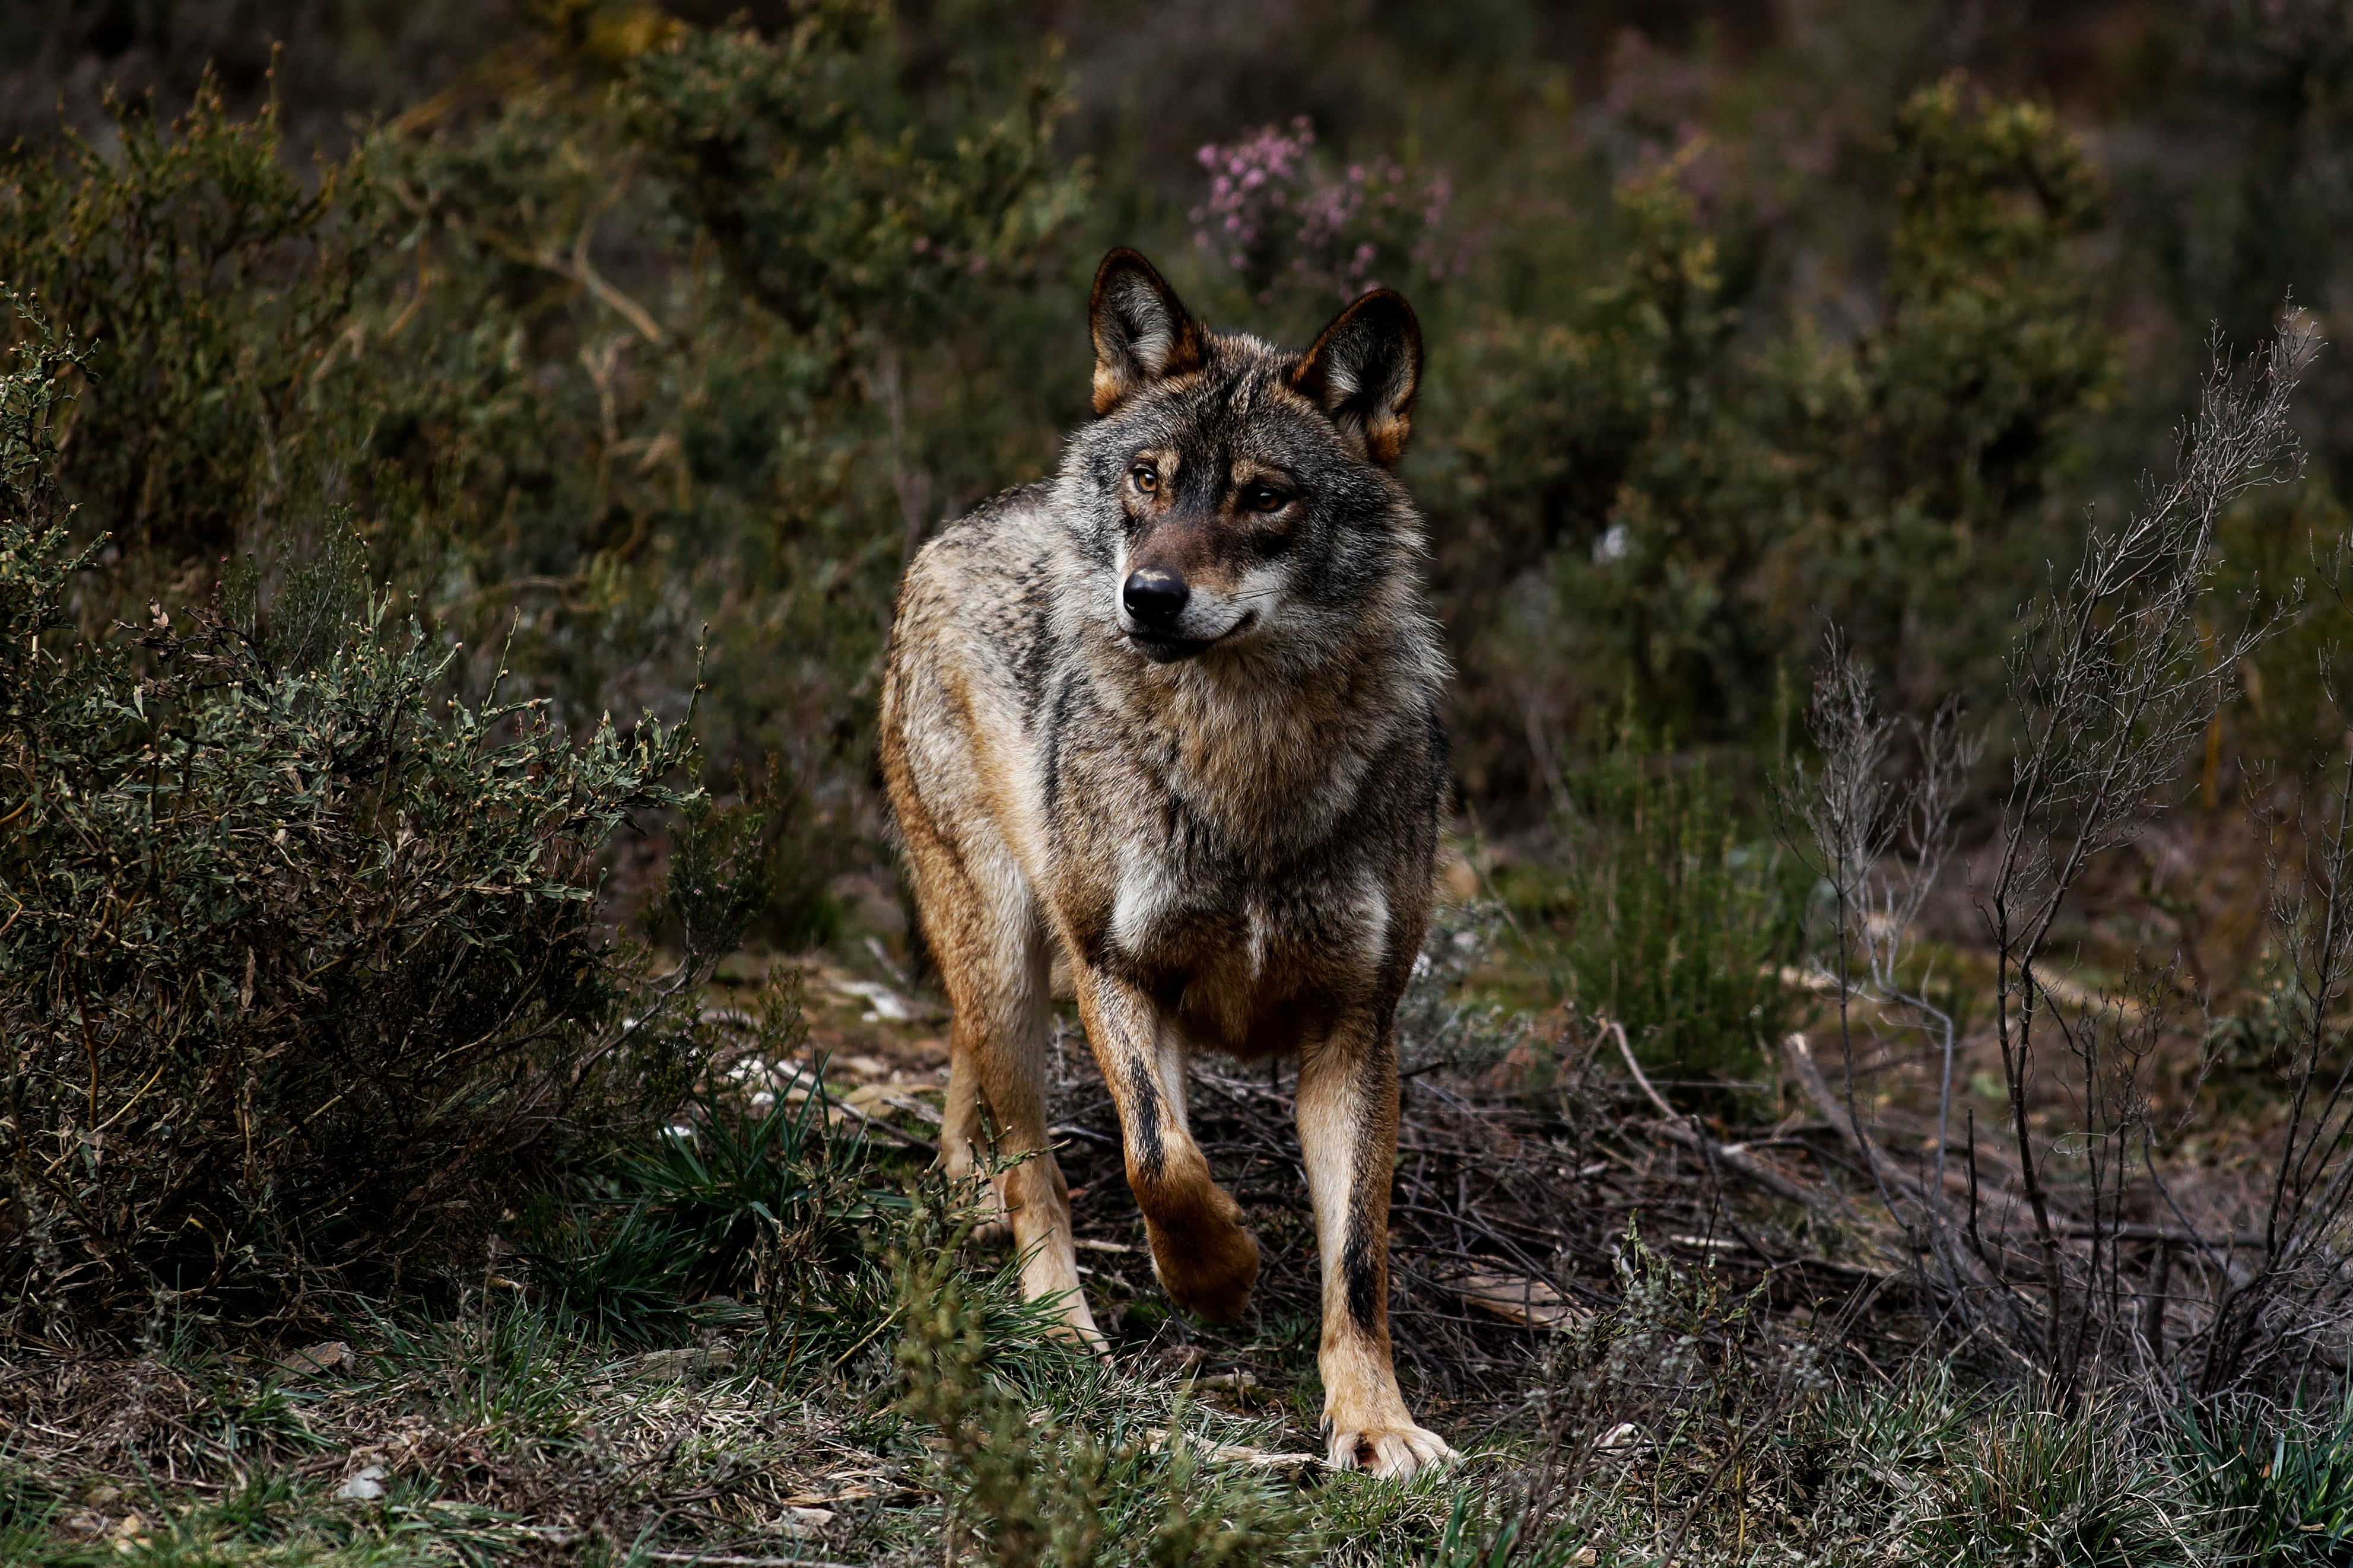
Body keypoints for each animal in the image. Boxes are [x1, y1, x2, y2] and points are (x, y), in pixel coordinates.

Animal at [879, 251, 1449, 1476]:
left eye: (1264, 496)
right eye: (1150, 479)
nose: (1147, 595)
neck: (1248, 768)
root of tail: (966, 521)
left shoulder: (1359, 1026)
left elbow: (1357, 1262)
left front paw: (1374, 1420)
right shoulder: (1116, 967)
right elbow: (1157, 1158)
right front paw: (1217, 1273)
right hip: (1011, 962)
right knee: (1037, 1169)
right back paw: (1059, 1325)